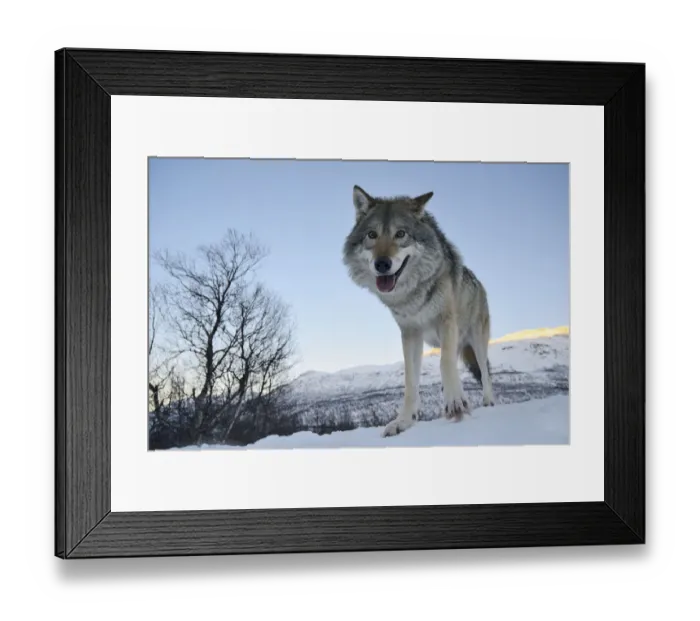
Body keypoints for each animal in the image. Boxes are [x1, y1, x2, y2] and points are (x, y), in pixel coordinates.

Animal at [342, 185, 495, 438]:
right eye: (372, 235)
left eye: (401, 234)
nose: (382, 264)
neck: (413, 295)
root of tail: (480, 283)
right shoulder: (410, 333)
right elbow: (410, 380)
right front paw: (404, 421)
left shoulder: (446, 321)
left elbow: (444, 363)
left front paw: (455, 402)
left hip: (477, 342)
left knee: (484, 372)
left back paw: (488, 401)